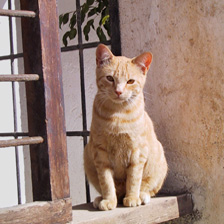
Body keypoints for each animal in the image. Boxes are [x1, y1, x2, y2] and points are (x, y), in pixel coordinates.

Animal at [83, 43, 167, 210]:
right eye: (110, 78)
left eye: (130, 81)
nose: (118, 91)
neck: (118, 115)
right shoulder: (100, 152)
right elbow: (106, 181)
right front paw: (109, 200)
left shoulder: (137, 152)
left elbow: (134, 179)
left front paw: (132, 197)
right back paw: (101, 199)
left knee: (148, 187)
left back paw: (141, 196)